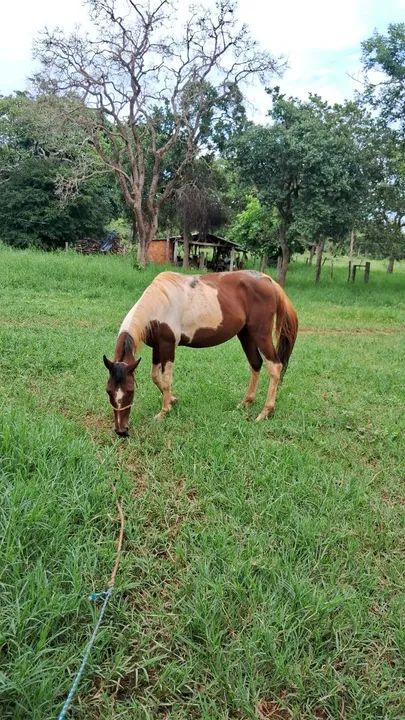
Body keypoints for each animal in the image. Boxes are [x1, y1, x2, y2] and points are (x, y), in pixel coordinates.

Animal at [103, 270, 298, 436]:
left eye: (130, 391)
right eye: (108, 391)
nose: (121, 431)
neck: (158, 304)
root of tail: (268, 280)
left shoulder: (168, 346)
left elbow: (166, 380)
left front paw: (164, 412)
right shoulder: (157, 347)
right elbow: (155, 376)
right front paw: (173, 400)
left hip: (260, 334)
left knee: (275, 366)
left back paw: (265, 412)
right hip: (246, 334)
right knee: (255, 363)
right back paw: (246, 403)